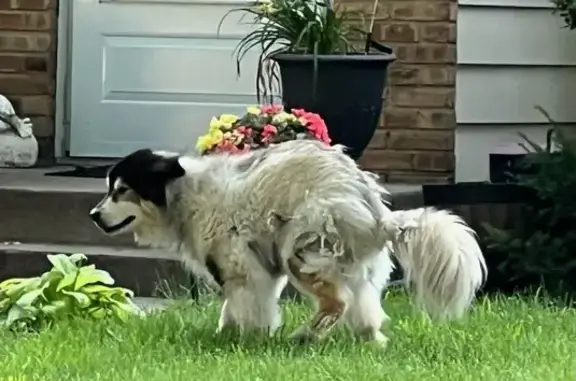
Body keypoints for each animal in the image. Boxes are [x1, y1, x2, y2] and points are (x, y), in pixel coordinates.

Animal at [89, 140, 486, 344]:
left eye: (121, 191)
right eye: (110, 189)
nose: (93, 215)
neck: (182, 193)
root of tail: (376, 214)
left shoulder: (244, 269)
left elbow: (248, 307)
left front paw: (251, 339)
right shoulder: (254, 270)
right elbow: (231, 307)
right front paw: (227, 333)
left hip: (302, 246)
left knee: (336, 302)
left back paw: (304, 335)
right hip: (356, 268)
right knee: (365, 312)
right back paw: (366, 340)